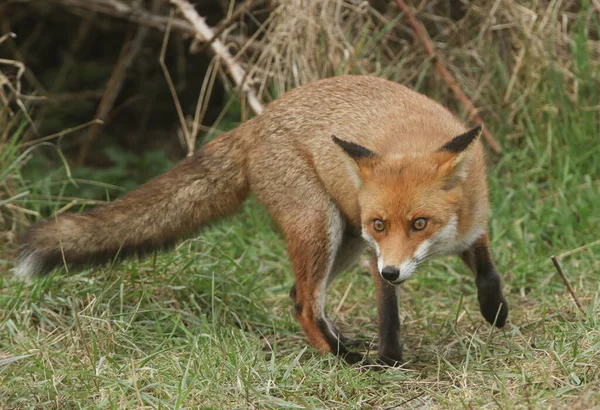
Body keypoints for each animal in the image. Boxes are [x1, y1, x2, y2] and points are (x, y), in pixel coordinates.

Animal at [15, 75, 506, 364]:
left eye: (420, 223)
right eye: (380, 224)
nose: (392, 271)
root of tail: (257, 120)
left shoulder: (471, 223)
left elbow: (485, 264)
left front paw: (494, 308)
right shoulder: (374, 251)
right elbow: (389, 314)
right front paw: (389, 359)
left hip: (342, 241)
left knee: (298, 295)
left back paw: (340, 344)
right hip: (322, 228)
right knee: (305, 303)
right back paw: (345, 359)